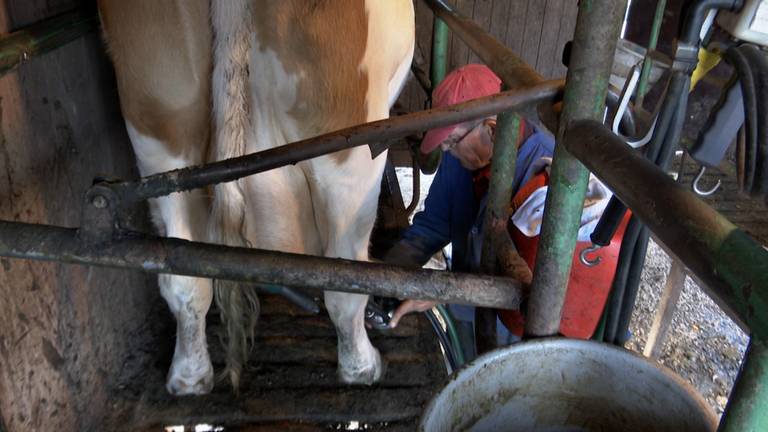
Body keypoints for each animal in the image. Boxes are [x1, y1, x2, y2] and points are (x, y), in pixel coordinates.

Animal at [100, 0, 416, 394]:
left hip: (160, 122)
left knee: (182, 277)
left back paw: (189, 377)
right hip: (351, 147)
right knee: (346, 281)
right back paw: (362, 368)